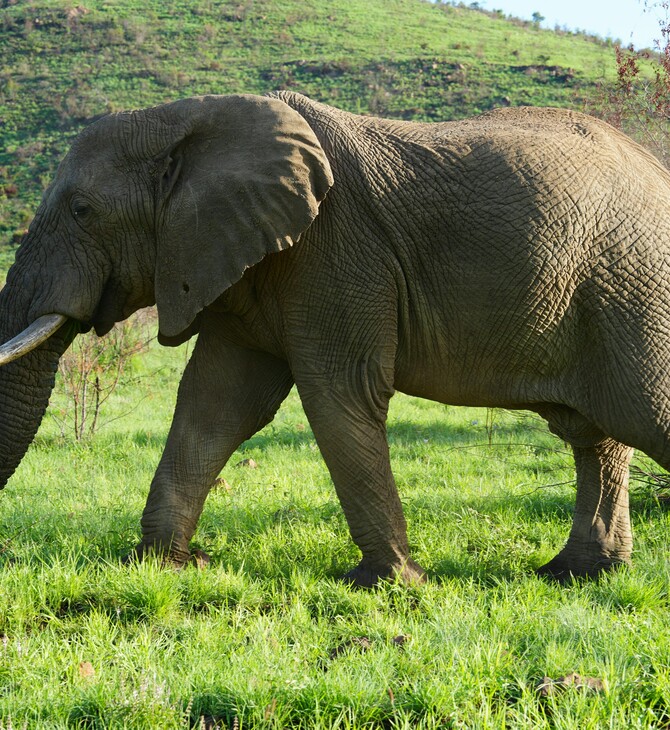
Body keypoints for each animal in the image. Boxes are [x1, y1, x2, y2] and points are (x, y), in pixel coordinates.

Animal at [1, 91, 670, 584]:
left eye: (82, 211)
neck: (190, 118)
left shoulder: (333, 252)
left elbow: (338, 395)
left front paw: (392, 583)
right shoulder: (240, 259)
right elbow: (216, 404)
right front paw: (164, 567)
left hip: (632, 288)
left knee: (640, 412)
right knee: (595, 434)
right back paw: (577, 574)